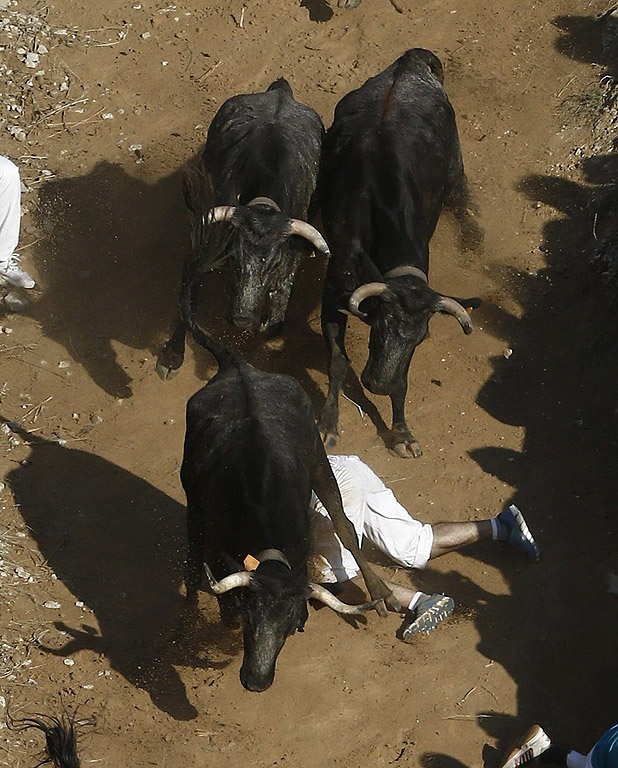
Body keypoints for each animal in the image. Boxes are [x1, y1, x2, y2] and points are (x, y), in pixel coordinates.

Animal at [156, 79, 328, 380]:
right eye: (233, 257)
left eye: (273, 265)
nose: (242, 319)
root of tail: (280, 91)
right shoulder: (204, 249)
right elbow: (188, 299)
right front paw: (171, 357)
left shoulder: (289, 265)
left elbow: (276, 321)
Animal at [180, 316, 398, 692]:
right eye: (250, 614)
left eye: (288, 626)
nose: (256, 681)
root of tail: (239, 364)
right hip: (191, 487)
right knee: (192, 541)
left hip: (318, 460)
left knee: (343, 523)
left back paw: (380, 592)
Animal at [312, 51, 482, 460]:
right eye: (380, 324)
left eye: (420, 338)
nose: (378, 385)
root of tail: (413, 61)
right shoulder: (333, 293)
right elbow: (337, 362)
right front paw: (329, 426)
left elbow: (405, 380)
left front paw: (402, 431)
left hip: (454, 165)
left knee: (461, 193)